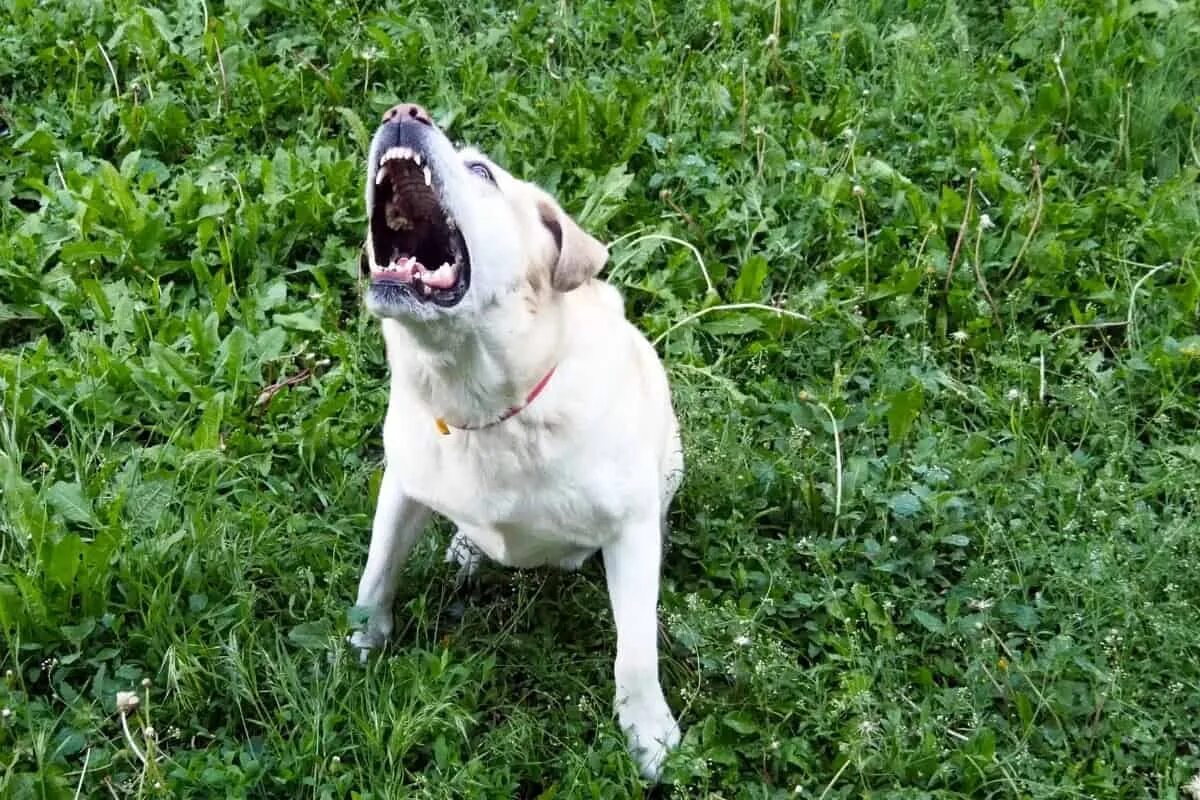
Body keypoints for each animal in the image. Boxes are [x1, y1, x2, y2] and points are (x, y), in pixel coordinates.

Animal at [348, 101, 686, 782]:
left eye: (482, 171)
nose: (403, 112)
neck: (482, 404)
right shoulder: (402, 487)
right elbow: (377, 574)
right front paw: (364, 641)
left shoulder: (630, 529)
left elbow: (636, 650)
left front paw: (647, 733)